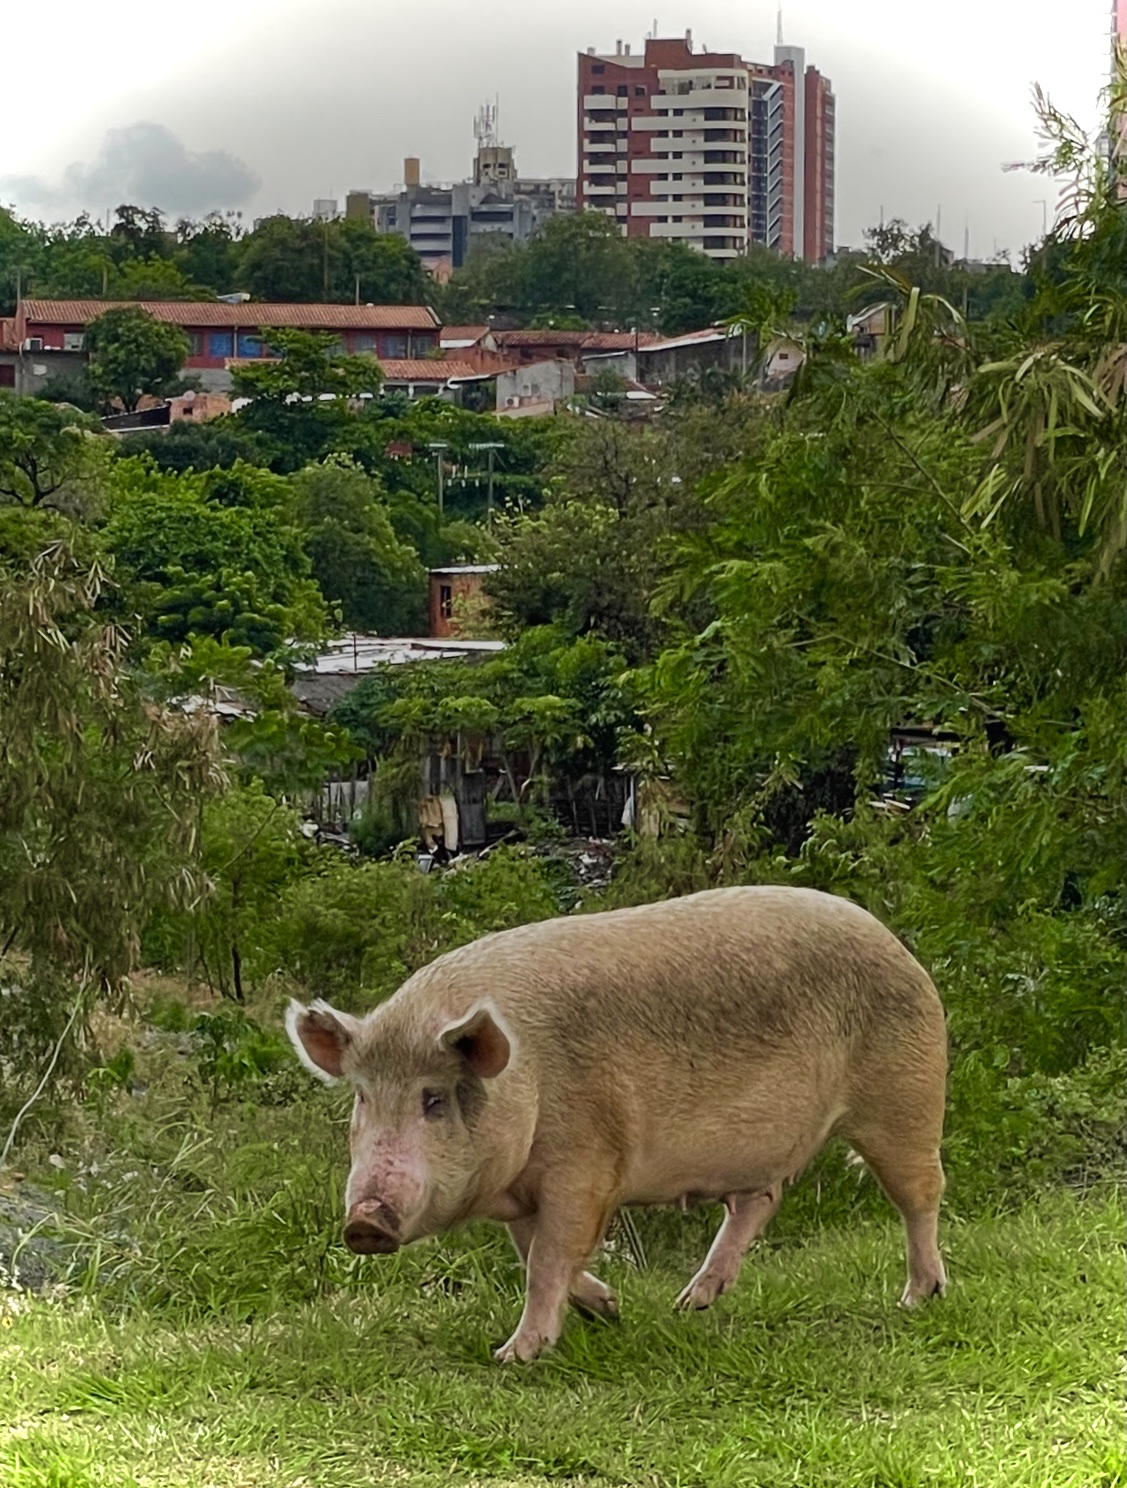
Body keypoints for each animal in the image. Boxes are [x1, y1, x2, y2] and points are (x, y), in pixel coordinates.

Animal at [285, 880, 946, 1363]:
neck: (530, 1080)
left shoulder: (585, 1164)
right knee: (758, 1201)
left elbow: (549, 1257)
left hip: (905, 1098)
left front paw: (514, 1356)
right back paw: (691, 1304)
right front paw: (609, 1309)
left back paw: (918, 1299)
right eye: (363, 1098)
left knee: (921, 1193)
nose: (364, 1222)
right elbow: (533, 1254)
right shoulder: (525, 1190)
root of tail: (897, 944)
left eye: (434, 1099)